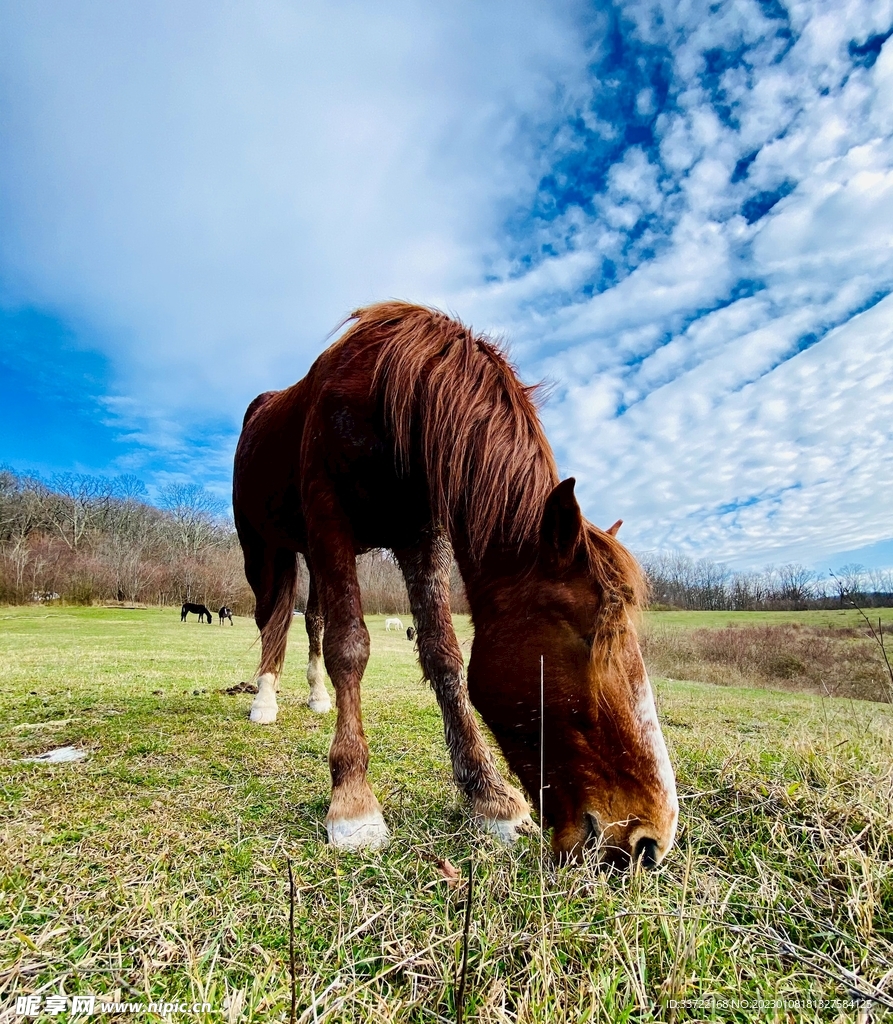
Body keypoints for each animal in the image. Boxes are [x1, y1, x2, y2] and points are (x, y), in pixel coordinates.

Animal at [233, 302, 677, 866]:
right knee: (270, 615)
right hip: (264, 546)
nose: (650, 837)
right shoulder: (330, 517)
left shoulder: (419, 537)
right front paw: (353, 801)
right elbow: (349, 646)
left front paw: (489, 797)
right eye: (590, 636)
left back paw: (315, 697)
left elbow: (443, 655)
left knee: (308, 618)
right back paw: (264, 699)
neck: (386, 394)